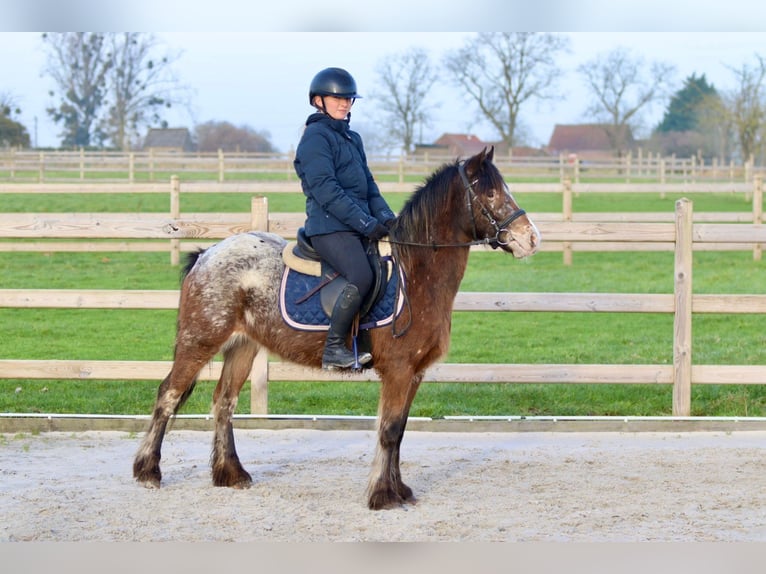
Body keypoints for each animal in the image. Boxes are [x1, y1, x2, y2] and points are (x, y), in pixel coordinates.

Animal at [134, 146, 540, 510]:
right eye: (491, 193)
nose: (532, 238)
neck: (417, 275)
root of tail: (206, 254)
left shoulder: (415, 373)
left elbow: (400, 431)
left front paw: (399, 490)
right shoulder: (399, 370)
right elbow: (389, 431)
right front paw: (382, 496)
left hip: (242, 347)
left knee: (224, 402)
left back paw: (231, 474)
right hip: (200, 340)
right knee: (169, 394)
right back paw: (148, 472)